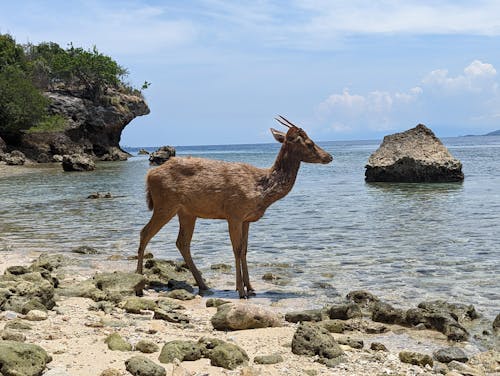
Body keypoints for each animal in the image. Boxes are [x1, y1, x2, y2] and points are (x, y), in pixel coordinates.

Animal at [135, 116, 334, 298]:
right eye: (309, 143)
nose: (329, 156)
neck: (261, 190)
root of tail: (149, 175)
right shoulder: (234, 214)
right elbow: (237, 249)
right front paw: (241, 290)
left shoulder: (247, 219)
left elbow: (245, 250)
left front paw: (251, 288)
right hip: (165, 203)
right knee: (145, 232)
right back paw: (139, 280)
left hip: (187, 212)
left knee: (182, 242)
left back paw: (203, 285)